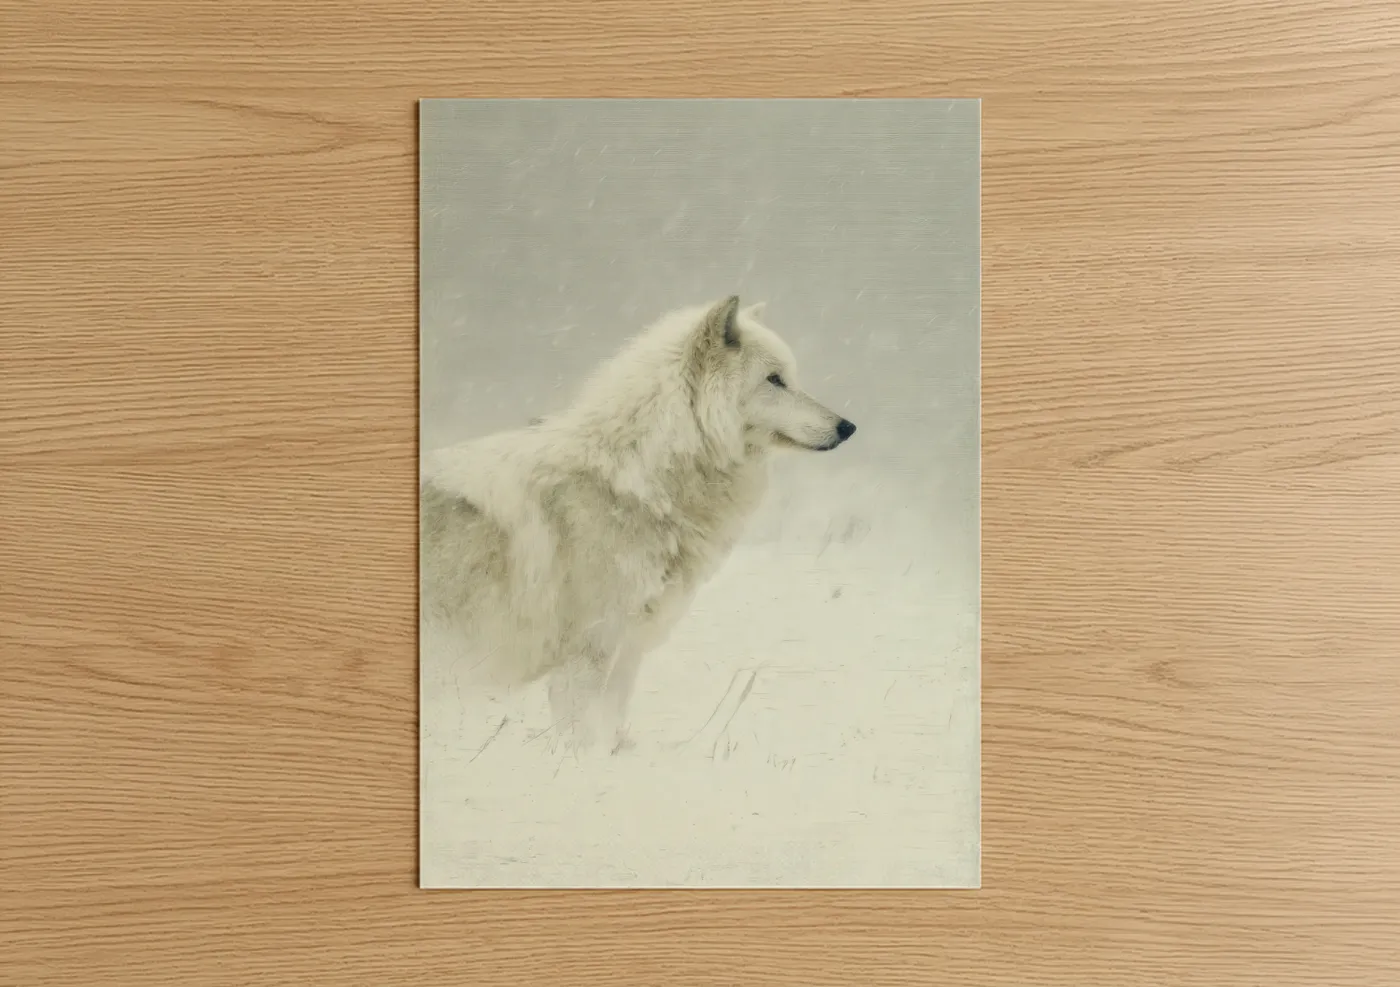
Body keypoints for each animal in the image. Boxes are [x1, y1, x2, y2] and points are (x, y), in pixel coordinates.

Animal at [419, 296, 856, 752]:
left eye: (790, 377)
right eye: (774, 380)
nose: (848, 427)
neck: (638, 481)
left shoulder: (626, 652)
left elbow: (611, 730)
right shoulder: (585, 656)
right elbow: (583, 741)